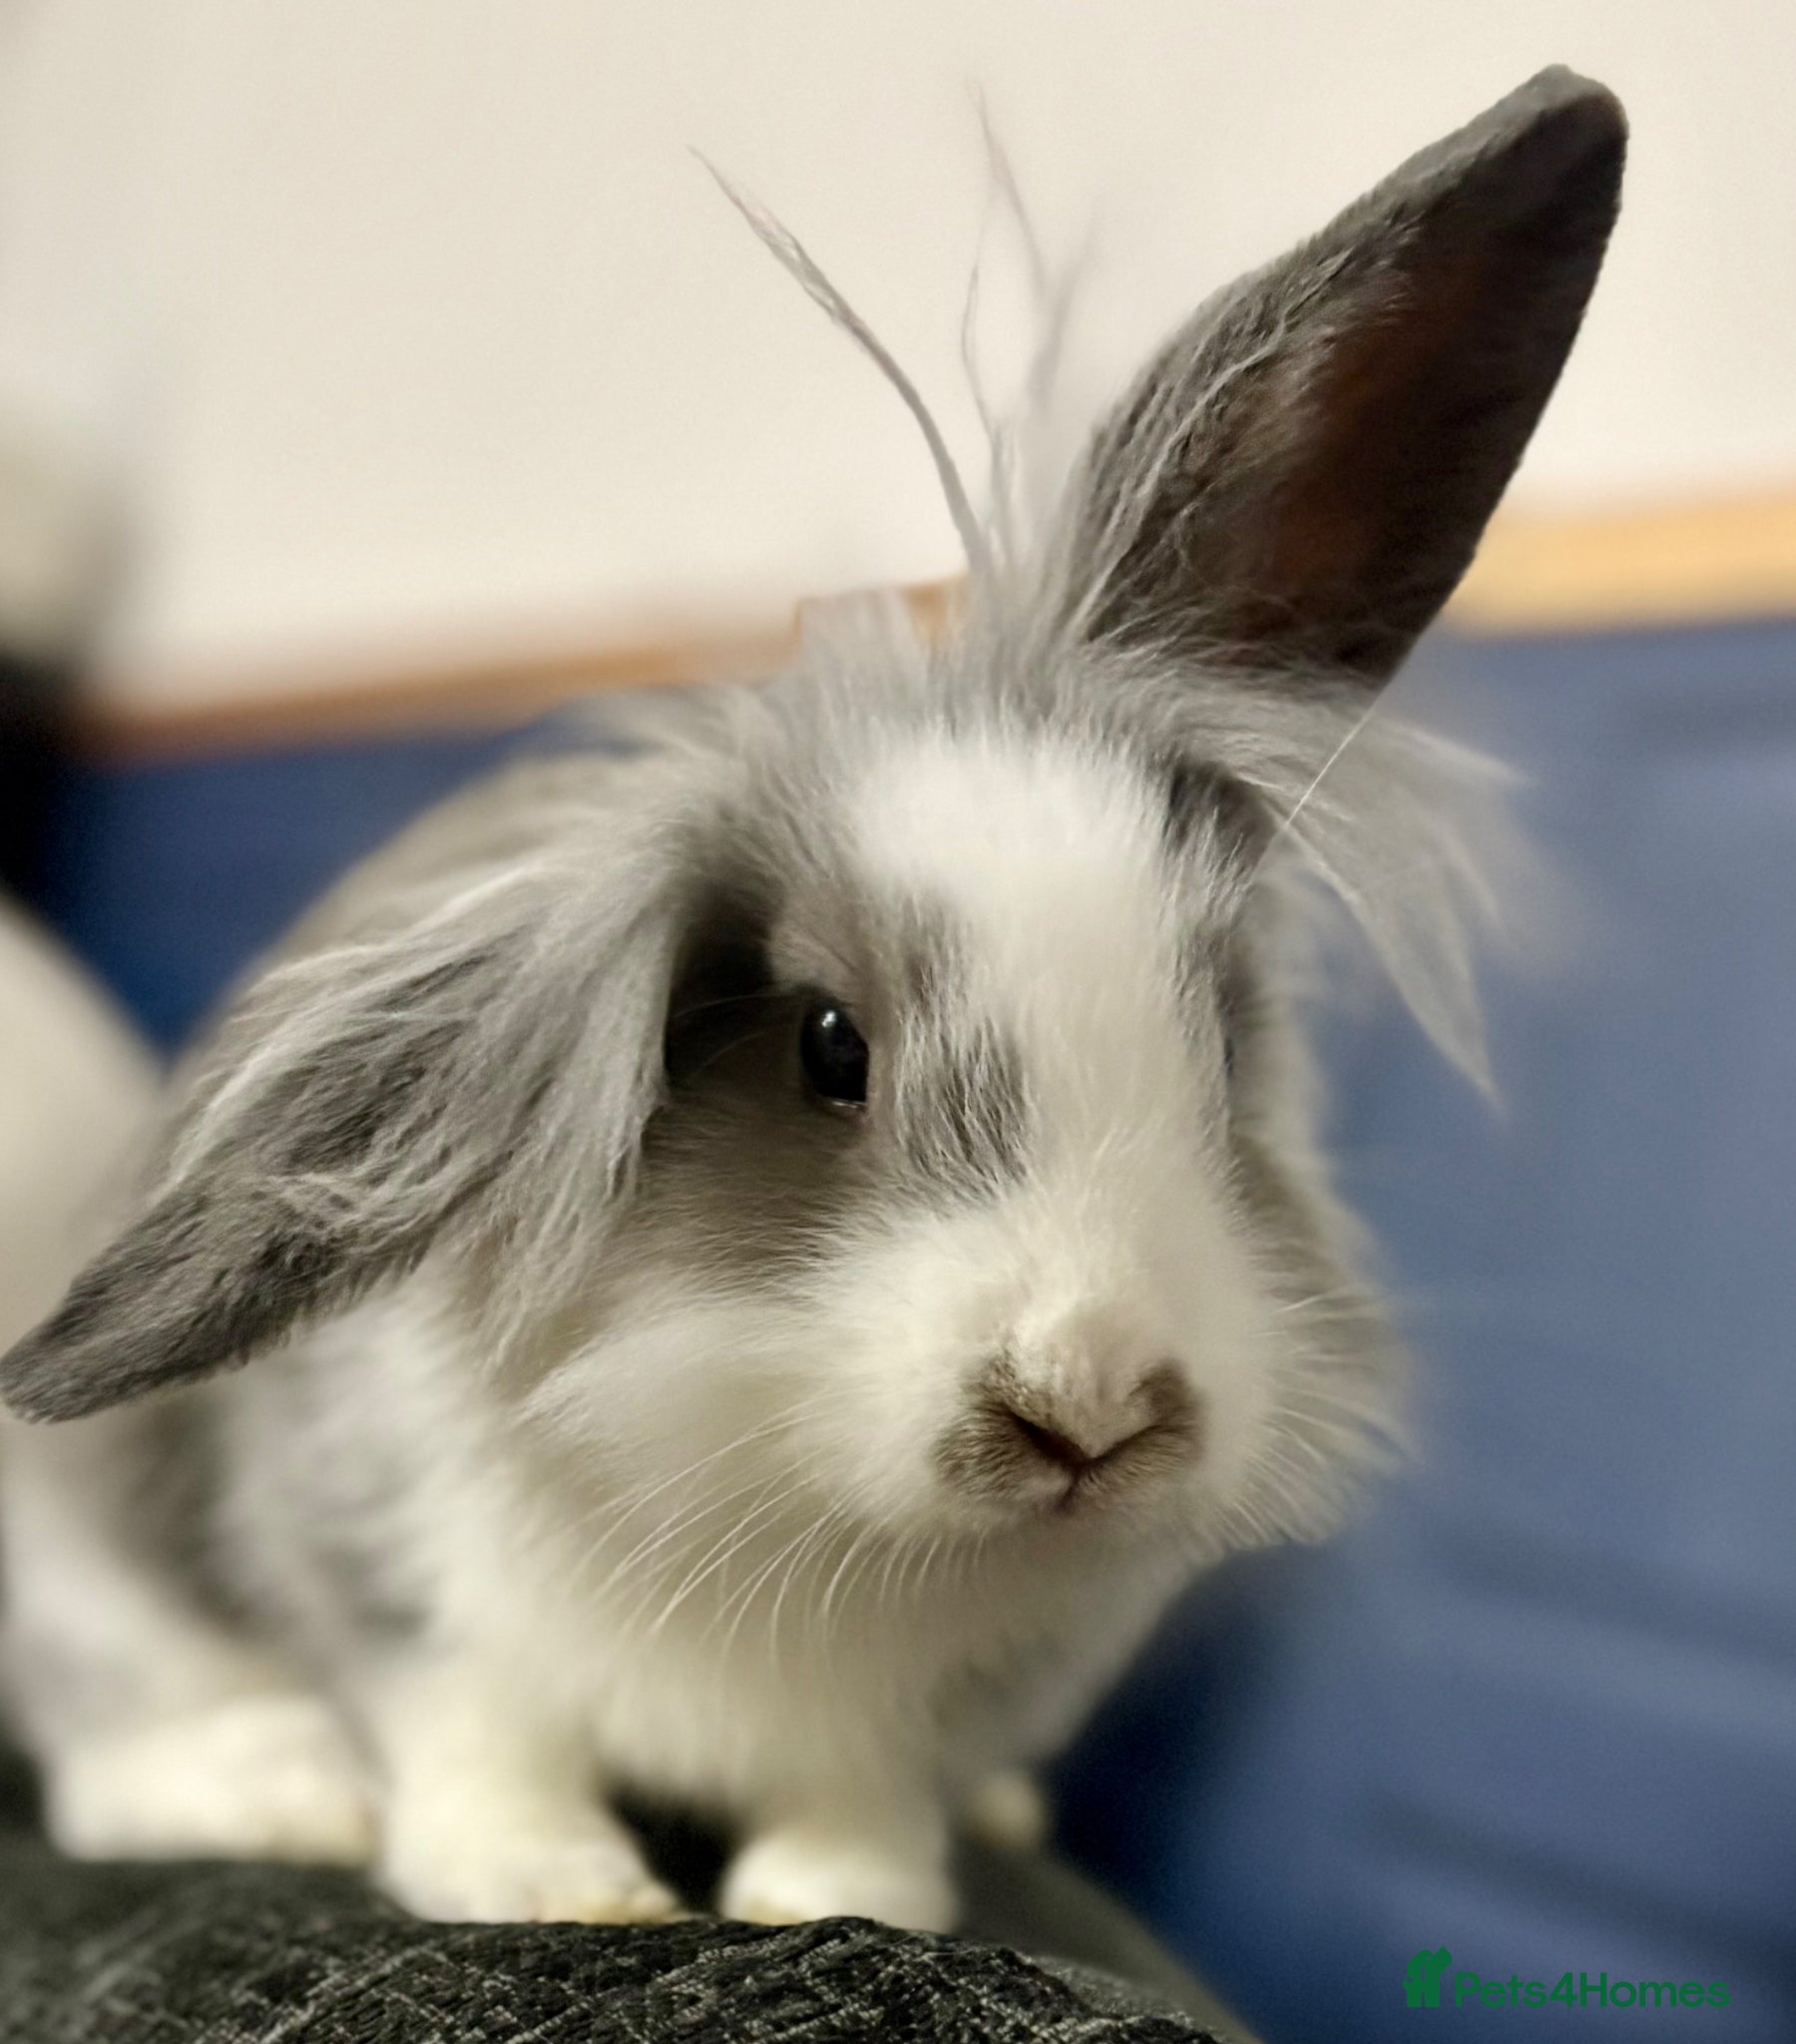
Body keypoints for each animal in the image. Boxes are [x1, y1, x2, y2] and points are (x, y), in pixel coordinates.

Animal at [0, 69, 1623, 1933]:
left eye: (1220, 1040)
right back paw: (270, 1785)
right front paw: (554, 1887)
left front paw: (841, 1898)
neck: (797, 1497)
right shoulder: (389, 1547)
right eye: (826, 1048)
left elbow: (860, 1788)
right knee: (113, 1732)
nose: (1093, 1404)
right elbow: (476, 1728)